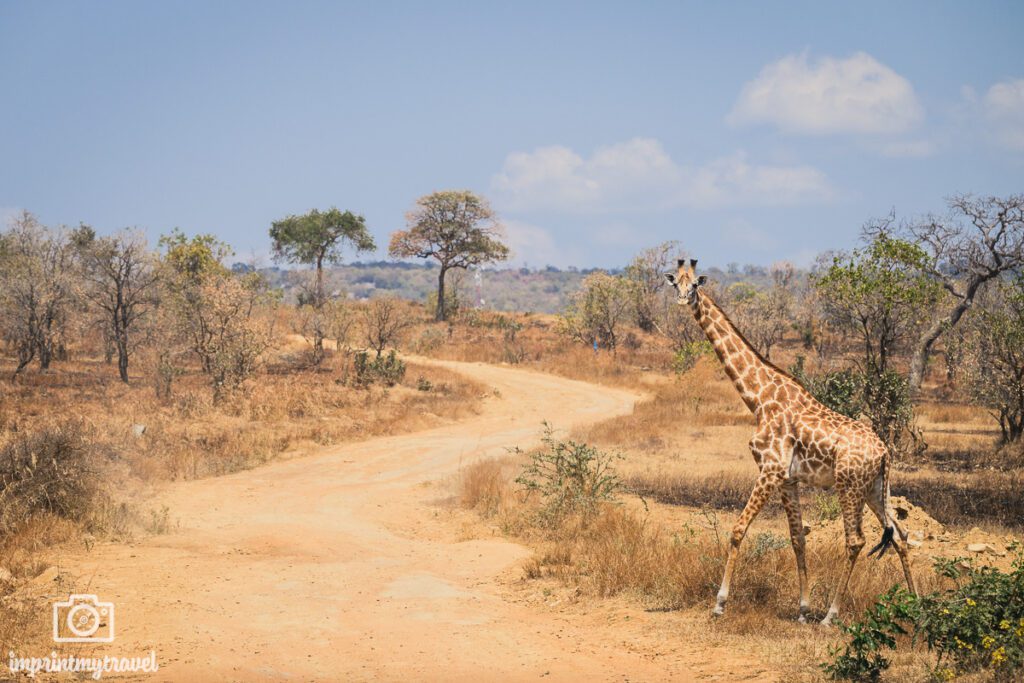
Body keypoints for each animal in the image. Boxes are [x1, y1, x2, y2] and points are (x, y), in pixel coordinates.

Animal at [664, 258, 915, 625]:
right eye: (675, 283)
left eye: (694, 284)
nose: (683, 300)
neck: (758, 397)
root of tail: (884, 452)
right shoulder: (787, 478)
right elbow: (798, 538)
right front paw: (802, 608)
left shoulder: (769, 470)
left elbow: (738, 529)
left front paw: (719, 604)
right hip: (874, 488)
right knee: (899, 535)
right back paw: (917, 604)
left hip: (848, 484)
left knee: (856, 540)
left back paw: (831, 615)